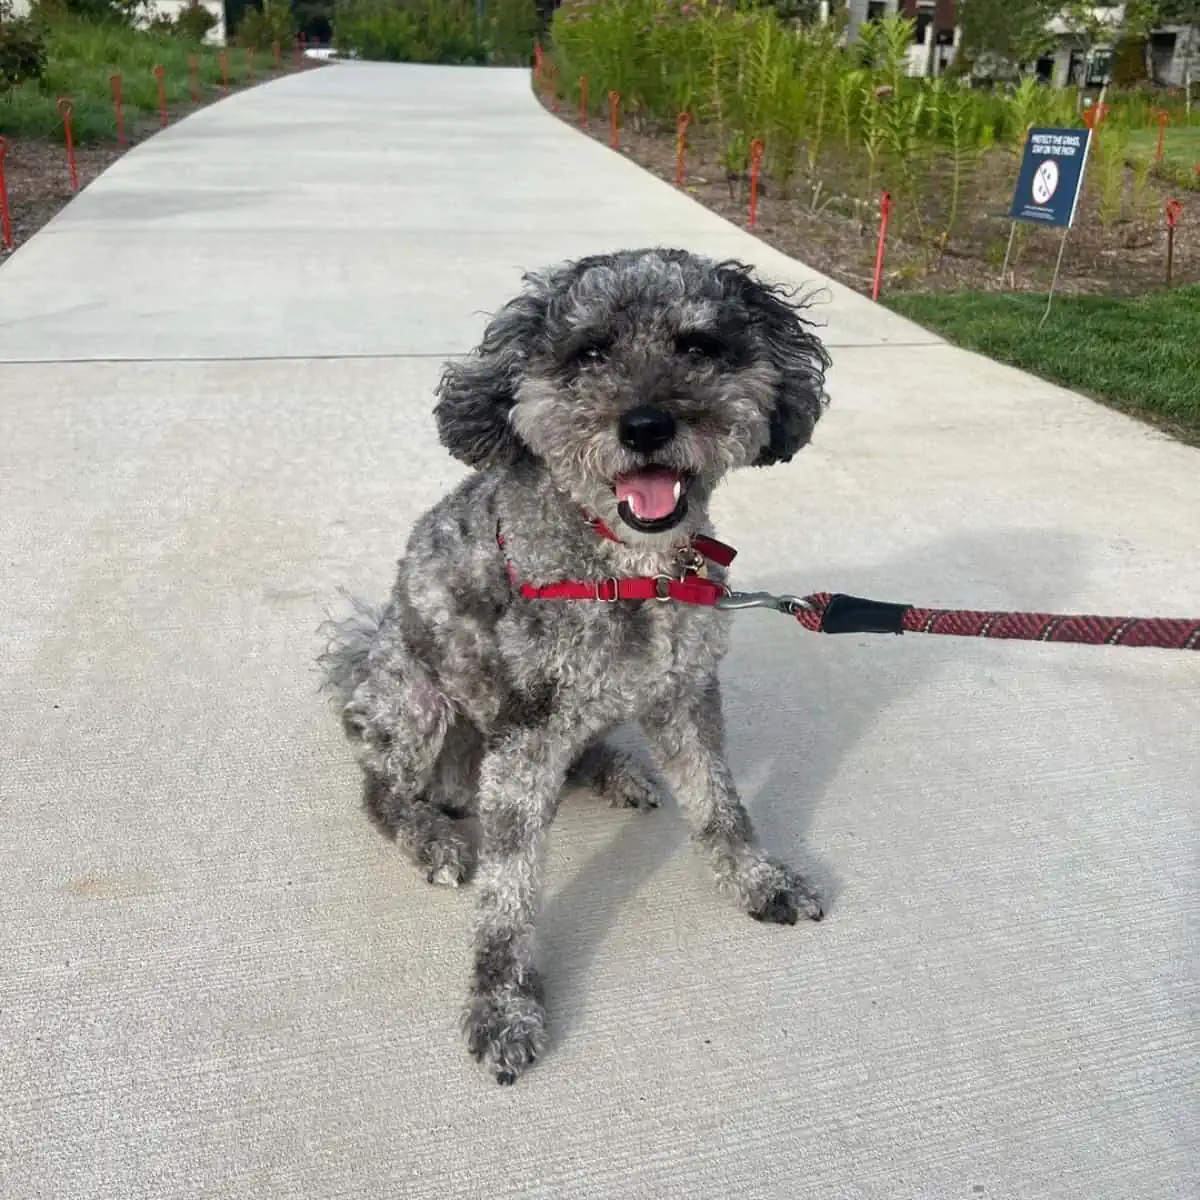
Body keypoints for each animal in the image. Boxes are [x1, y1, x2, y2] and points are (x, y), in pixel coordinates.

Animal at [319, 246, 835, 1089]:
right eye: (588, 353)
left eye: (698, 345)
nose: (647, 424)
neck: (630, 570)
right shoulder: (525, 739)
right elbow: (509, 891)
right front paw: (504, 1006)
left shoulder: (685, 694)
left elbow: (722, 805)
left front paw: (760, 881)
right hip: (418, 701)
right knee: (379, 790)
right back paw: (430, 836)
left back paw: (608, 769)